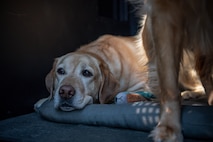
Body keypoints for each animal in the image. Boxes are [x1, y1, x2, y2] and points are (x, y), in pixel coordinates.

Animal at [35, 34, 205, 111]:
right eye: (60, 71)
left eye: (87, 73)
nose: (65, 92)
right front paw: (42, 100)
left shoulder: (146, 84)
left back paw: (189, 94)